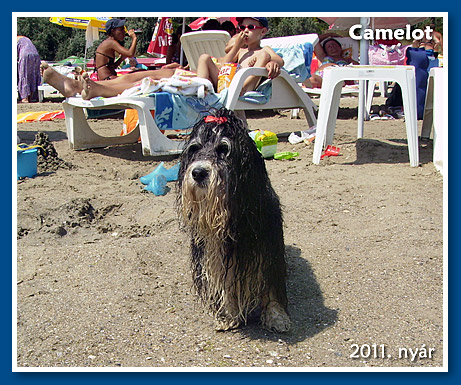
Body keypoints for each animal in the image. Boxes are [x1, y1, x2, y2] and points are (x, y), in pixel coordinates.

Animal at [177, 107, 290, 330]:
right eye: (194, 148)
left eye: (224, 149)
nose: (198, 172)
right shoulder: (216, 254)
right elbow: (226, 284)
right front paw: (229, 315)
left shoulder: (268, 248)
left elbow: (270, 286)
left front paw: (276, 316)